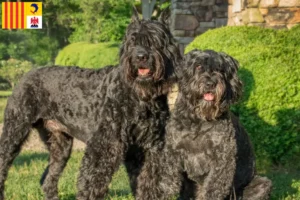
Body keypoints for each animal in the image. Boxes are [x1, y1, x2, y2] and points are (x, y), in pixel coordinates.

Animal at [0, 8, 180, 199]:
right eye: (132, 41)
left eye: (156, 40)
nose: (140, 56)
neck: (140, 97)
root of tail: (26, 75)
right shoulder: (103, 146)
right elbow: (91, 184)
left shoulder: (148, 150)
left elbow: (147, 184)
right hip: (15, 131)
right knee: (3, 164)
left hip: (60, 145)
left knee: (48, 179)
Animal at [163, 48, 274, 200]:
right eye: (198, 66)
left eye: (220, 70)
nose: (210, 83)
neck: (198, 120)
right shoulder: (173, 154)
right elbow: (170, 185)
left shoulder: (222, 158)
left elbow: (214, 189)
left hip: (261, 184)